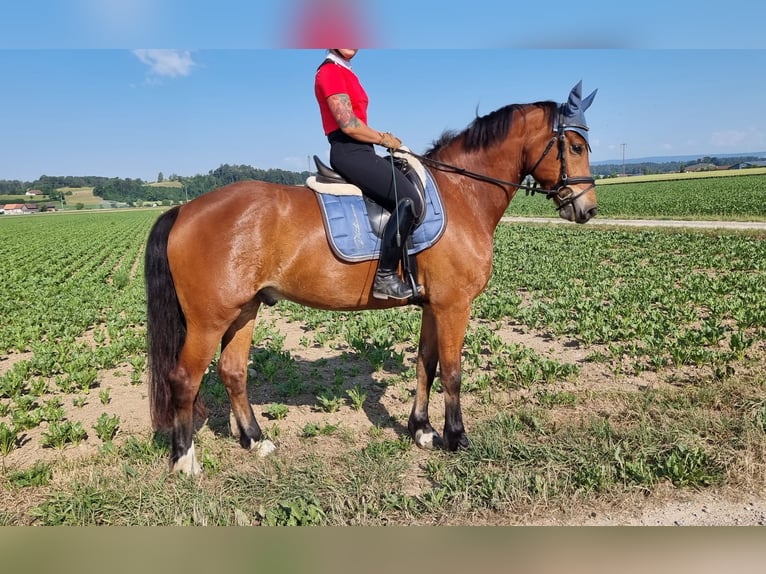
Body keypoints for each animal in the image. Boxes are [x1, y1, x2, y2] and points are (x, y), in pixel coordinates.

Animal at [144, 82, 600, 476]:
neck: (461, 192)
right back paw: (185, 461)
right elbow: (453, 370)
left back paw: (256, 441)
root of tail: (184, 210)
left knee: (233, 372)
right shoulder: (454, 305)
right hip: (208, 319)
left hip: (244, 309)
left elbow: (426, 364)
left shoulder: (433, 305)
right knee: (184, 379)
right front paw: (457, 438)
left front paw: (422, 431)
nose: (588, 209)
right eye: (576, 147)